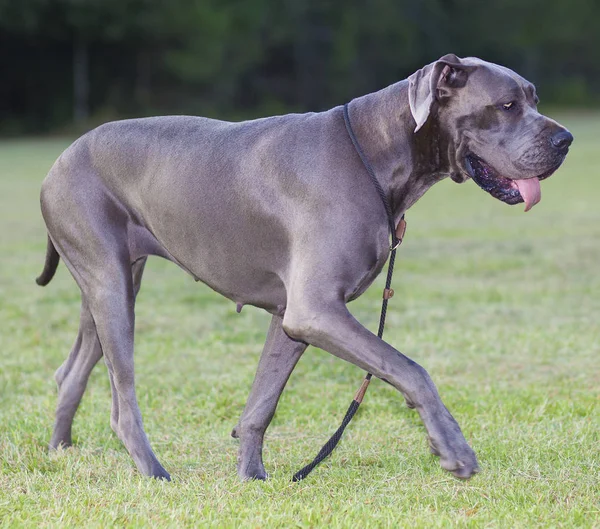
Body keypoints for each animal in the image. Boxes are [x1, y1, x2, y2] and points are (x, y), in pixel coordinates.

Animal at [36, 53, 572, 478]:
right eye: (507, 105)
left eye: (535, 99)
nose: (566, 139)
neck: (375, 153)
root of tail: (59, 159)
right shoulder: (315, 309)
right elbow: (410, 368)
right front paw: (453, 449)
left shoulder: (290, 317)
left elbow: (261, 404)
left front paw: (251, 477)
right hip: (111, 285)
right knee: (122, 402)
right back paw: (153, 472)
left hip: (111, 282)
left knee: (73, 370)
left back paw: (60, 451)